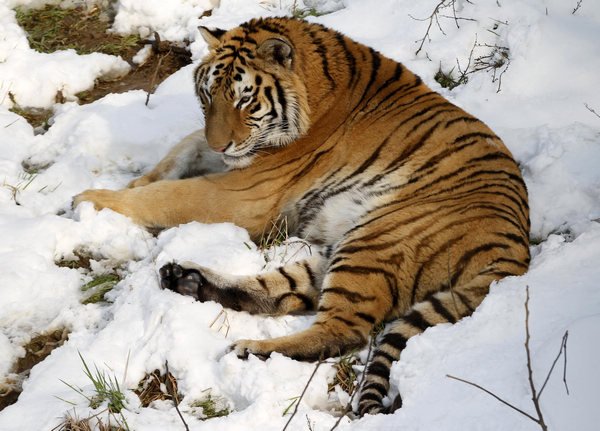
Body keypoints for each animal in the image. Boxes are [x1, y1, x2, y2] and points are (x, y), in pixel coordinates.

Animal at [75, 16, 528, 416]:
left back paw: (253, 349)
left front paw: (87, 199)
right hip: (346, 249)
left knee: (344, 331)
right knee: (281, 293)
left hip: (377, 240)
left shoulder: (246, 191)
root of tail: (515, 257)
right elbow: (182, 149)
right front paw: (135, 181)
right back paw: (186, 279)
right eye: (207, 96)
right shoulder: (230, 159)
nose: (222, 145)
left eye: (243, 99)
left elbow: (169, 194)